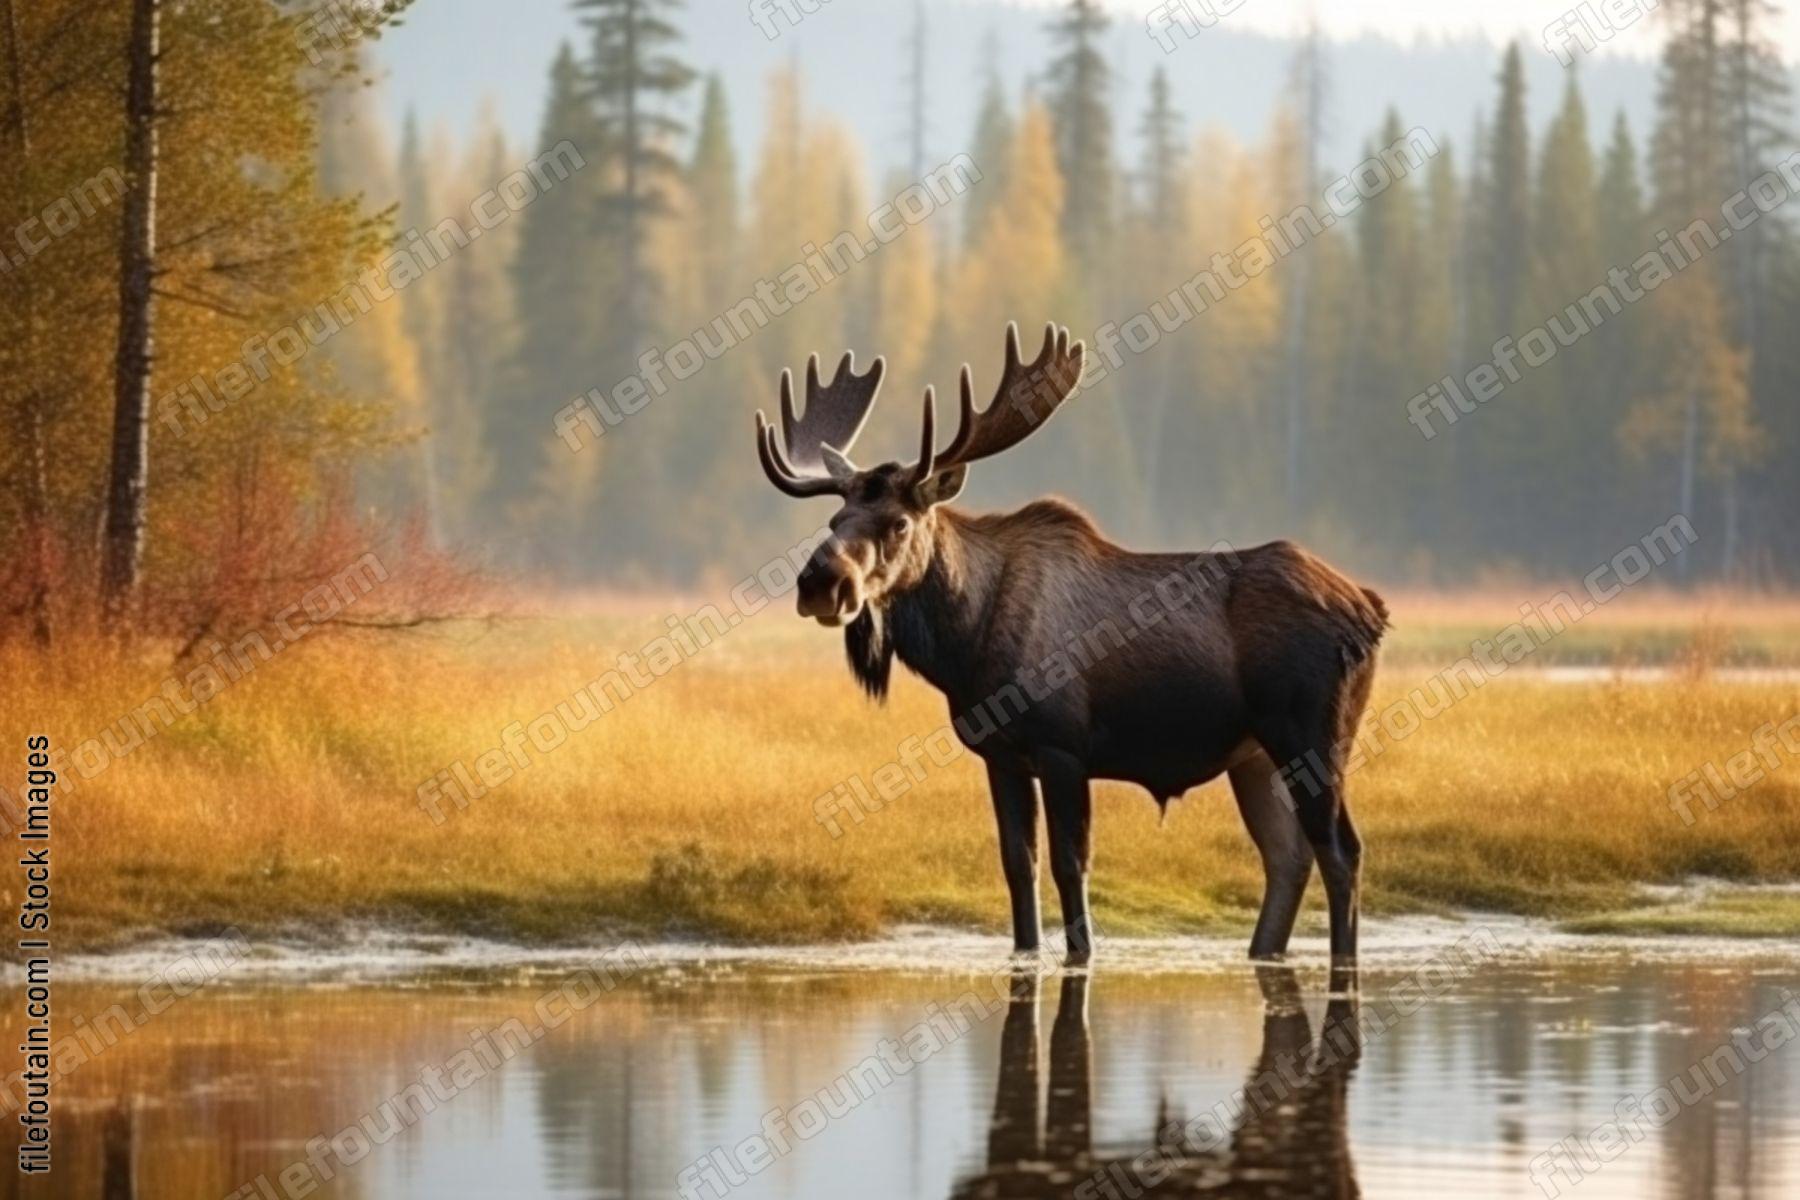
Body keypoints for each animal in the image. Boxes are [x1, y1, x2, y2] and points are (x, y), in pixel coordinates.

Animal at [754, 323, 1387, 969]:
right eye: (836, 520)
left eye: (899, 523)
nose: (820, 583)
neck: (965, 648)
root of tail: (1371, 609)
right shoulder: (1001, 755)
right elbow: (1018, 866)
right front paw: (1027, 954)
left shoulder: (1063, 747)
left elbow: (1070, 866)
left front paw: (1079, 959)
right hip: (1254, 753)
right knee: (1287, 856)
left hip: (1313, 732)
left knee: (1343, 850)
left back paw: (1344, 962)